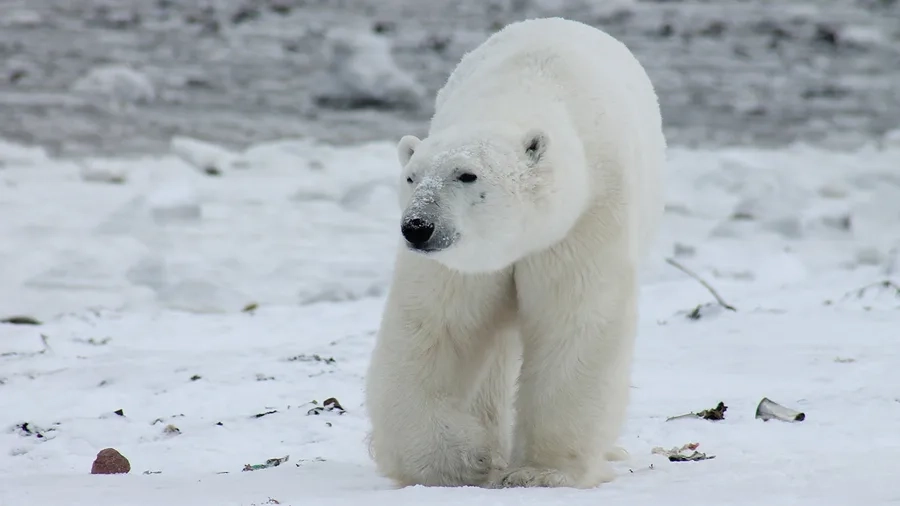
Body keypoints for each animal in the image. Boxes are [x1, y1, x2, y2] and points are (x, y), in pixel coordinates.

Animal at [362, 17, 664, 488]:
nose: (417, 227)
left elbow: (575, 323)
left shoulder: (585, 219)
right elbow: (435, 328)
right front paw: (462, 459)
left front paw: (541, 472)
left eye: (467, 175)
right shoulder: (463, 262)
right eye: (411, 177)